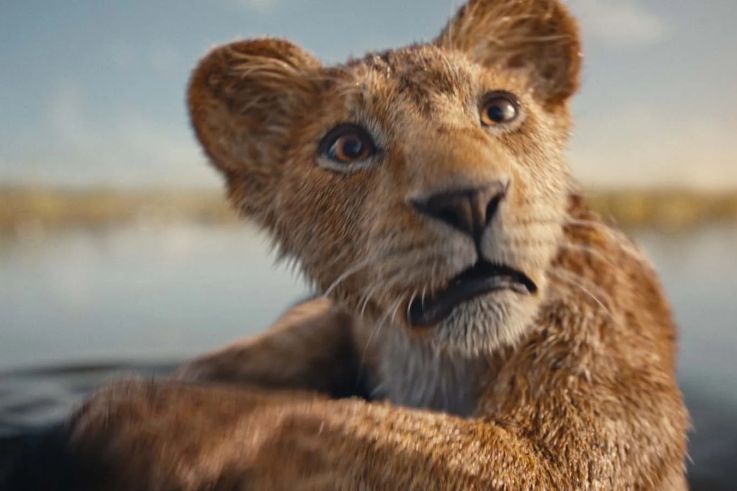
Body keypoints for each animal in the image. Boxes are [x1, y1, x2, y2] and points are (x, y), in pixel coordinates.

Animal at [7, 0, 689, 489]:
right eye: (348, 146)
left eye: (499, 110)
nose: (469, 200)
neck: (434, 359)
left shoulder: (576, 444)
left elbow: (328, 423)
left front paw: (148, 419)